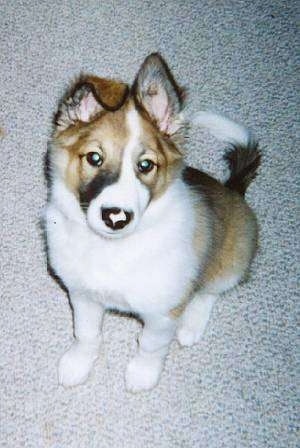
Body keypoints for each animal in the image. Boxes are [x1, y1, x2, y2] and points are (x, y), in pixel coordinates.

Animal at [45, 53, 258, 392]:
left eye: (146, 165)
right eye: (94, 158)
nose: (116, 217)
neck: (114, 250)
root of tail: (233, 189)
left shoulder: (162, 315)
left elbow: (150, 346)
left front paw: (143, 374)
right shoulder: (83, 295)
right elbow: (86, 334)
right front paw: (78, 364)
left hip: (232, 259)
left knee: (209, 290)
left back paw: (191, 325)